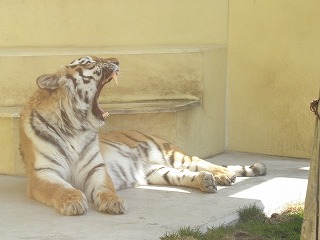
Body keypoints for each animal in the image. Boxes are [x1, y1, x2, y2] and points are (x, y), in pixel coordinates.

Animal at [18, 55, 266, 216]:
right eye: (90, 62)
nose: (117, 60)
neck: (75, 127)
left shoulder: (96, 168)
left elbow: (105, 188)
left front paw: (113, 202)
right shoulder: (43, 173)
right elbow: (60, 188)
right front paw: (74, 201)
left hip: (172, 154)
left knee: (200, 162)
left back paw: (224, 175)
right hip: (157, 171)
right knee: (183, 174)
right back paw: (205, 181)